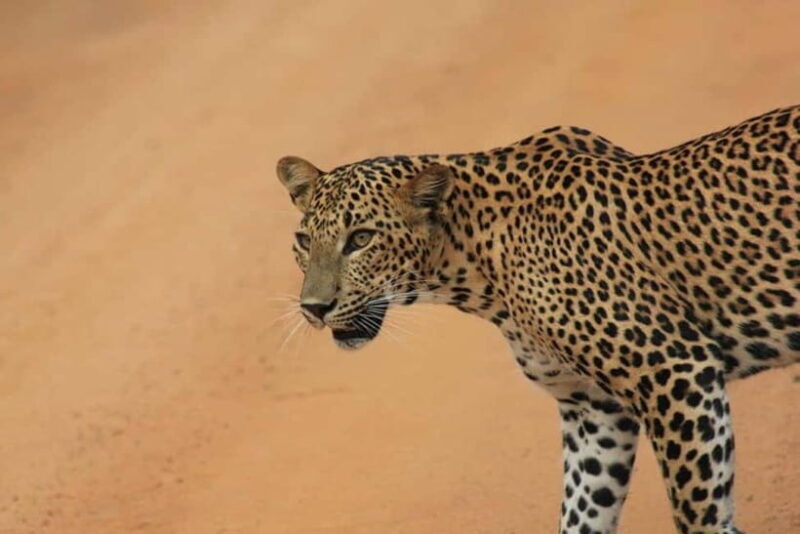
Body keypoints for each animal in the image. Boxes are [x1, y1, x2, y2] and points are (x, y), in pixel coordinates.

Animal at [276, 105, 800, 534]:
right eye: (304, 241)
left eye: (361, 239)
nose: (314, 308)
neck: (473, 260)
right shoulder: (594, 411)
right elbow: (583, 510)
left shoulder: (675, 370)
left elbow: (698, 511)